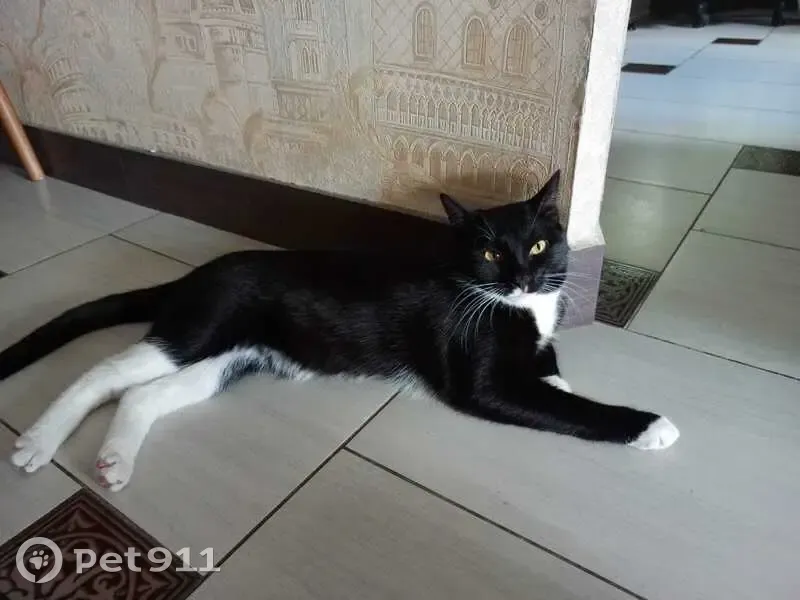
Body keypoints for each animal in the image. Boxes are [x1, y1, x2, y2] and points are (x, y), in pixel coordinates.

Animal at [1, 170, 678, 492]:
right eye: (490, 254)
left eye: (539, 245)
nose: (520, 277)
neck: (508, 304)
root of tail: (199, 273)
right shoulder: (478, 380)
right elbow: (558, 405)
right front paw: (648, 425)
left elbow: (549, 366)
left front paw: (558, 377)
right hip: (198, 330)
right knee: (105, 374)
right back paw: (38, 441)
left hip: (232, 356)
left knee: (145, 394)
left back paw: (114, 460)